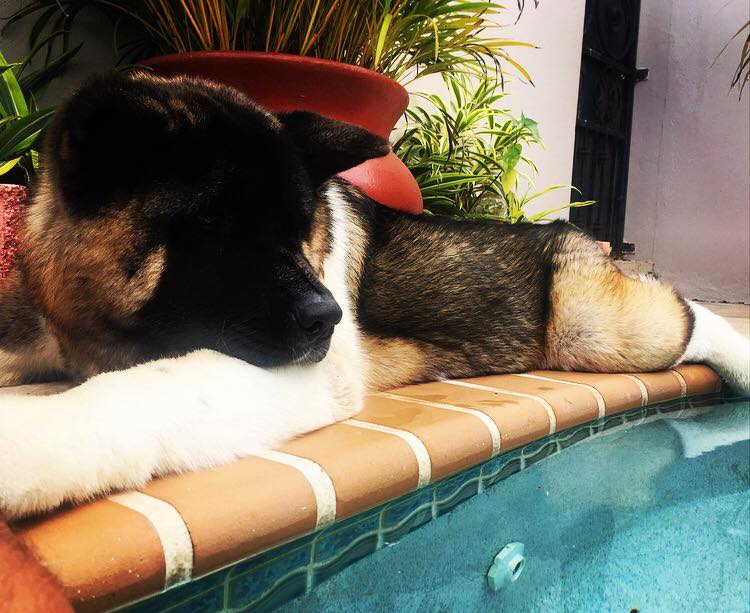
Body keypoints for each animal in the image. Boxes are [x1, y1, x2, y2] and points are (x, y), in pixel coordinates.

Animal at [0, 73, 748, 520]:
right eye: (214, 228)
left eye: (300, 228)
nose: (329, 317)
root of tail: (575, 237)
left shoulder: (304, 372)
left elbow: (140, 392)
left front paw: (28, 444)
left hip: (598, 328)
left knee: (686, 314)